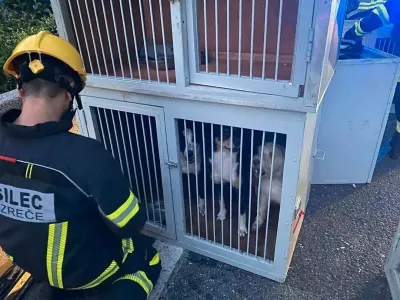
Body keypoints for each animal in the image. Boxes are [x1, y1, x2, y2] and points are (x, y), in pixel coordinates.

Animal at [177, 119, 286, 260]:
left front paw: (242, 229)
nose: (238, 141)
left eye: (239, 130)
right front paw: (222, 214)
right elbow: (221, 200)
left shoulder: (242, 188)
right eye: (225, 130)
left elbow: (242, 211)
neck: (225, 157)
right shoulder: (218, 183)